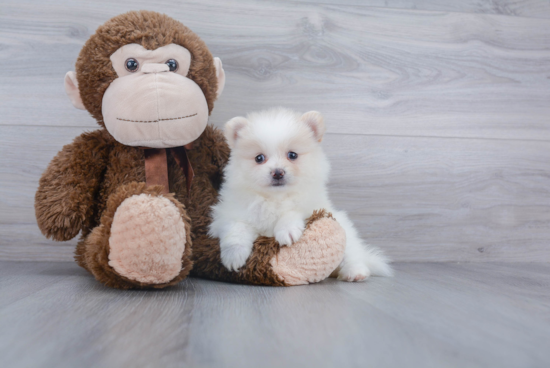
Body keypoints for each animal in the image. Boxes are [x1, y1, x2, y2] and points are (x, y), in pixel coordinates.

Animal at [209, 108, 394, 280]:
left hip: (344, 230)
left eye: (292, 155)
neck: (276, 198)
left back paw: (355, 272)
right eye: (259, 158)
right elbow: (236, 229)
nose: (278, 172)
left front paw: (287, 230)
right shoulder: (228, 213)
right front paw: (233, 256)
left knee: (352, 254)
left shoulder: (313, 206)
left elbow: (293, 211)